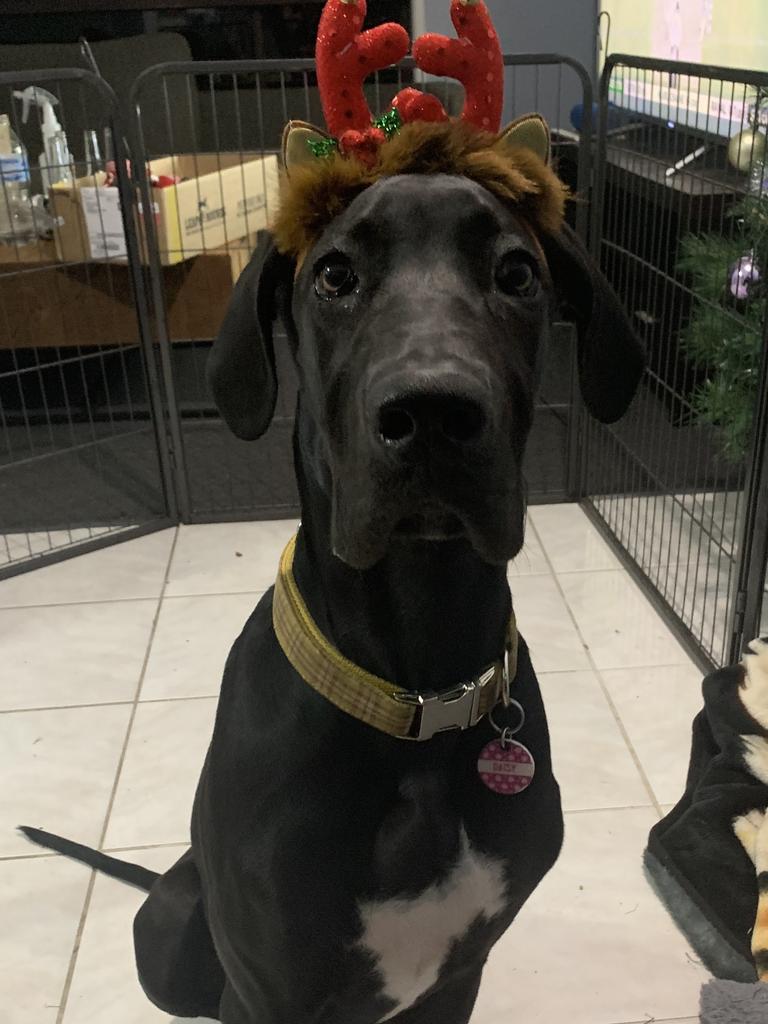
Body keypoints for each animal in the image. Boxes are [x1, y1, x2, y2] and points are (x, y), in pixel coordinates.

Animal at [20, 4, 647, 1019]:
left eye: (518, 275)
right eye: (335, 277)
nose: (431, 414)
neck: (418, 692)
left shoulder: (460, 975)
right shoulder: (268, 986)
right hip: (172, 938)